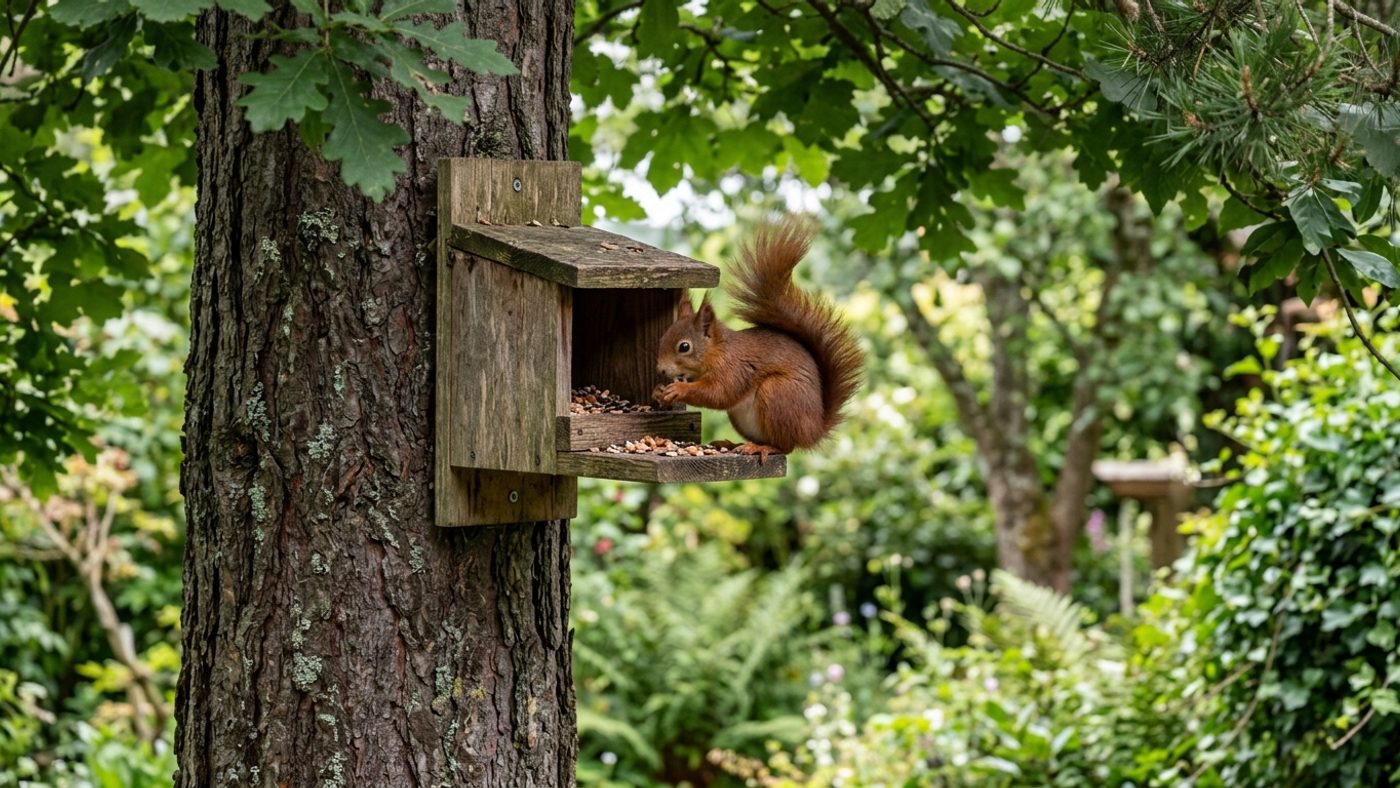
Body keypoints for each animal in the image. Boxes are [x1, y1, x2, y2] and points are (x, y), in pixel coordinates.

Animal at [652, 216, 865, 462]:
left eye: (684, 347)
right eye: (662, 339)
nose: (661, 370)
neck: (717, 351)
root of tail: (813, 431)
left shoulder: (734, 369)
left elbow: (719, 394)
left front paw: (678, 390)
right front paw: (659, 391)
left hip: (778, 393)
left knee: (785, 446)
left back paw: (764, 448)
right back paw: (735, 444)